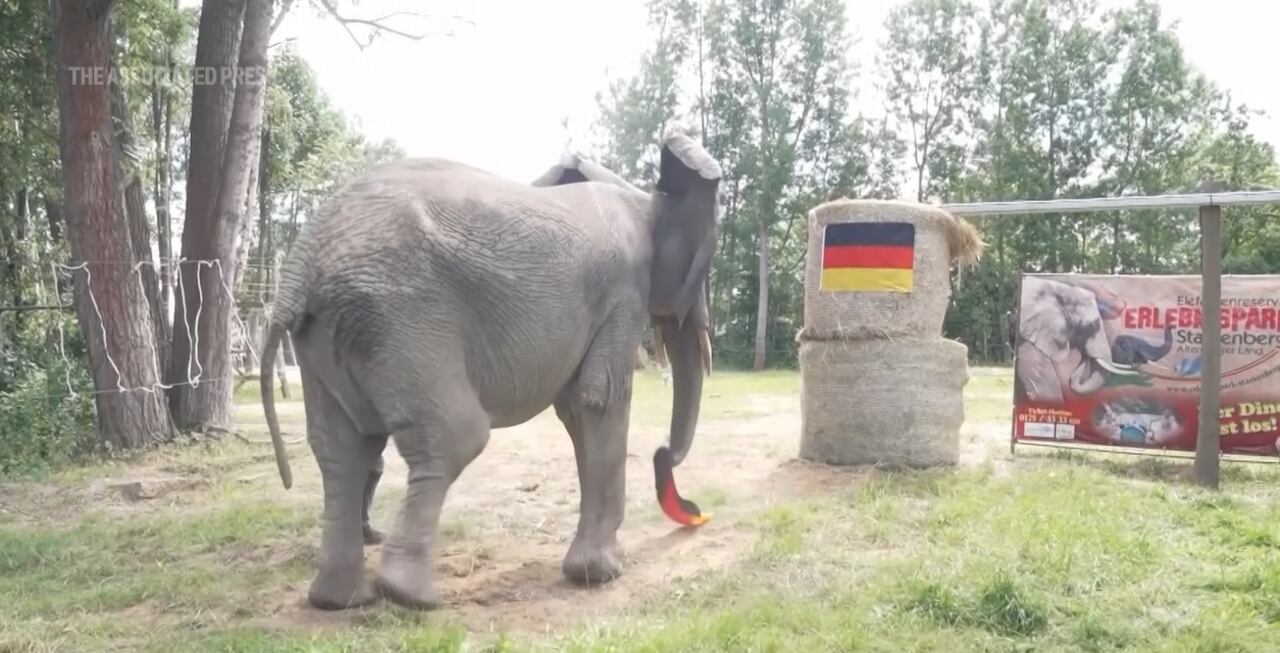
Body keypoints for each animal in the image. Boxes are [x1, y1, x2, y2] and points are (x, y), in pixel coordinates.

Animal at [258, 131, 722, 611]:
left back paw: (340, 600)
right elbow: (599, 399)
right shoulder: (623, 293)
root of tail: (300, 266)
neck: (643, 196)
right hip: (400, 319)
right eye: (705, 268)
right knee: (455, 435)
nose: (693, 508)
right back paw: (413, 596)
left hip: (327, 335)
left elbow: (576, 409)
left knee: (343, 449)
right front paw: (600, 575)